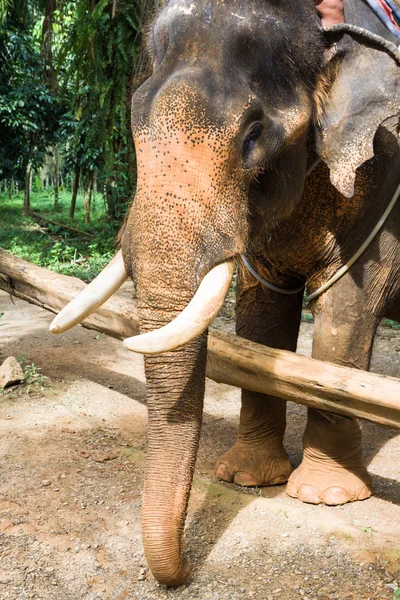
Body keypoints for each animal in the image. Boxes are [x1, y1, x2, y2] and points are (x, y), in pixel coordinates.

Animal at [49, 0, 400, 584]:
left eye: (253, 135)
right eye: (135, 122)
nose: (184, 571)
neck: (323, 26)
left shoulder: (385, 177)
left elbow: (348, 305)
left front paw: (325, 495)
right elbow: (262, 312)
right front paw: (246, 478)